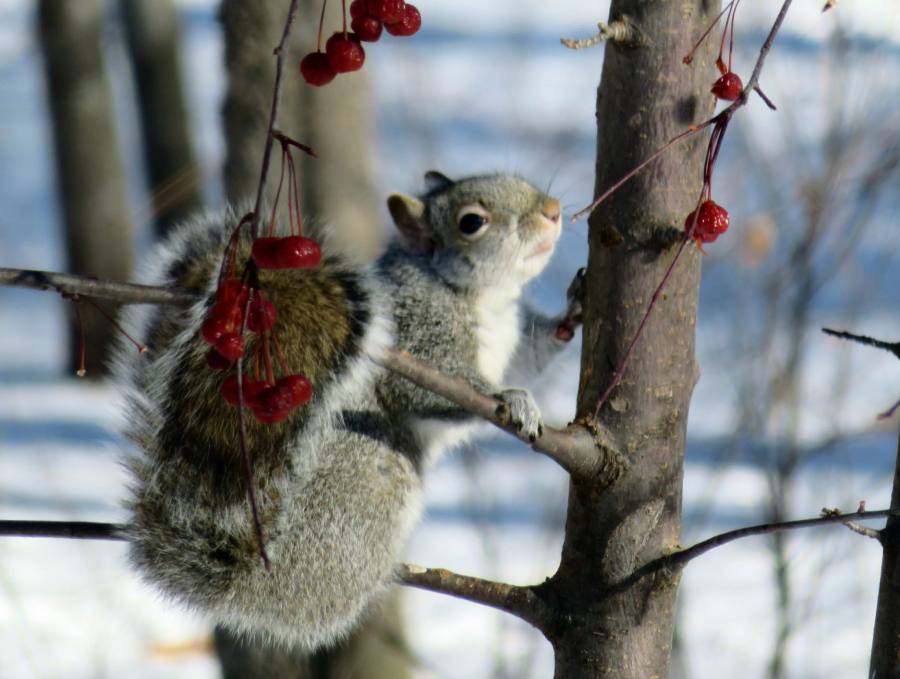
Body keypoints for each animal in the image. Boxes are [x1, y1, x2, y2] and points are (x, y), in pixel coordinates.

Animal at [112, 170, 588, 648]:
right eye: (471, 222)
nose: (552, 211)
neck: (487, 298)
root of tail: (252, 578)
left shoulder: (516, 341)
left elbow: (533, 354)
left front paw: (571, 315)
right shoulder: (417, 331)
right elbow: (426, 389)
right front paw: (512, 398)